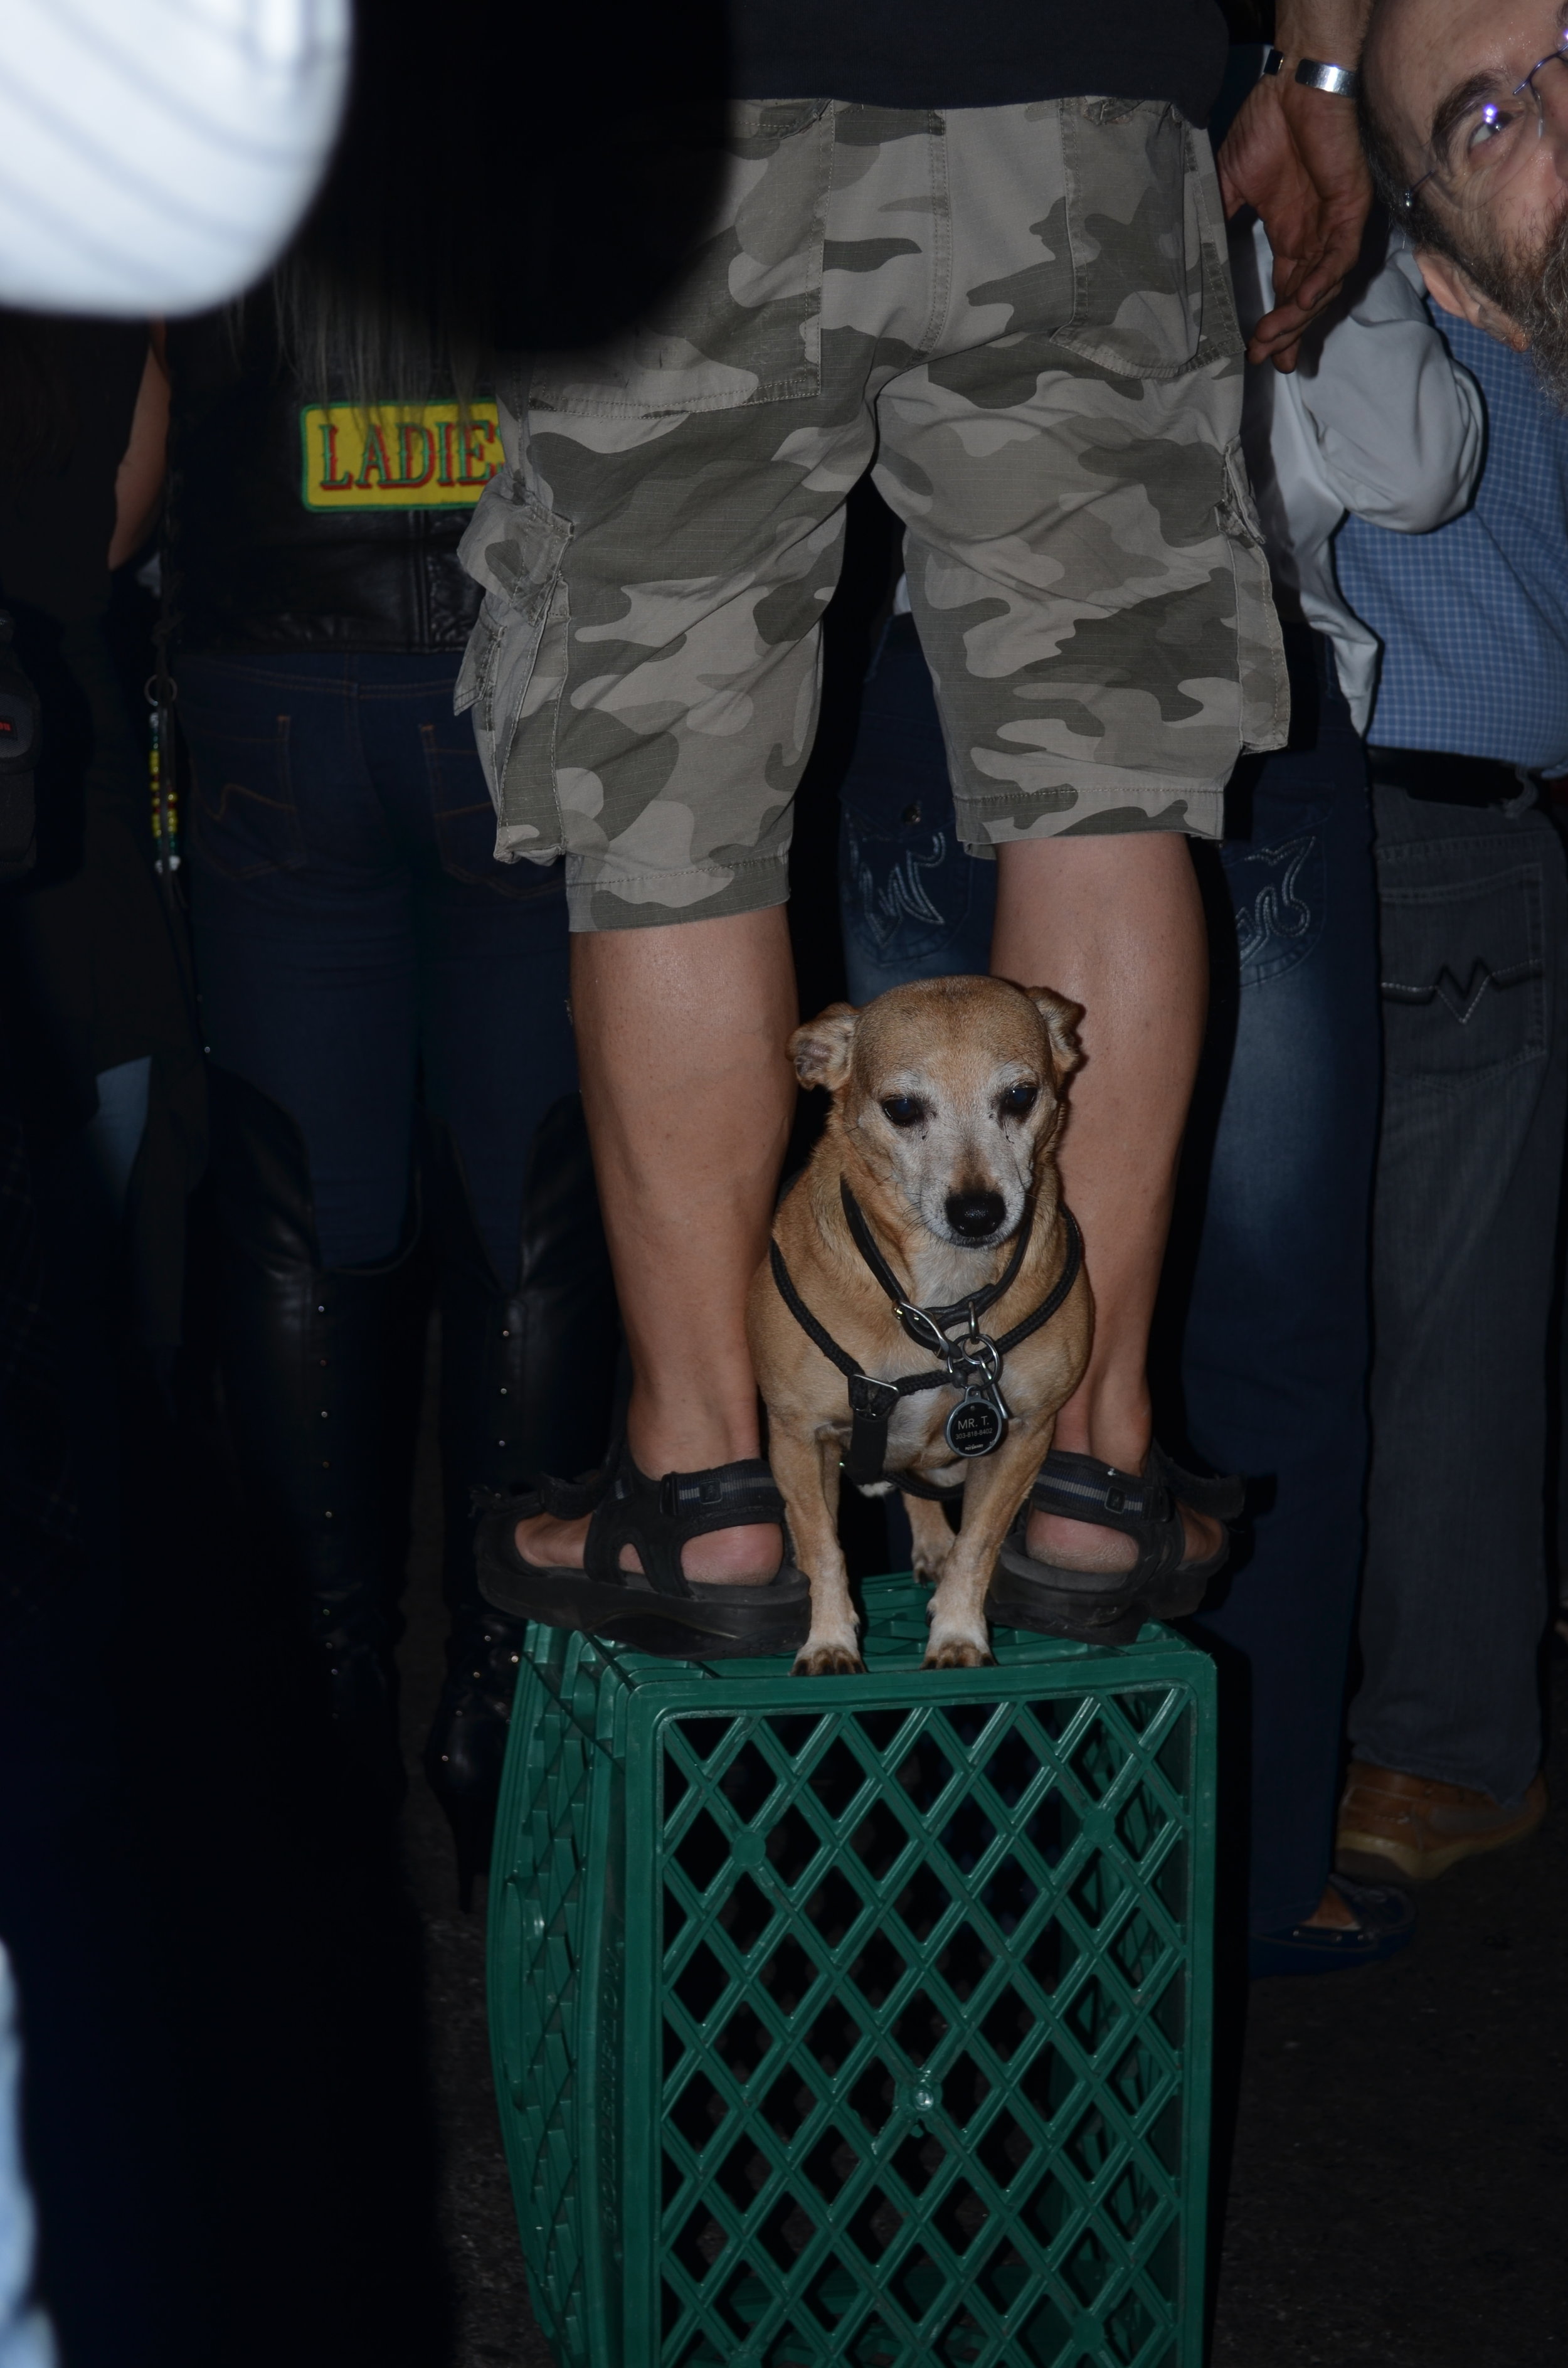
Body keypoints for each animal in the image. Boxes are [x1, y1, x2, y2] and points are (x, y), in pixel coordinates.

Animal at [758, 970, 1099, 1676]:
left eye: (1019, 1096)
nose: (976, 1212)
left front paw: (959, 1632)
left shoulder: (1025, 1435)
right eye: (902, 1108)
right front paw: (829, 1640)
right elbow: (825, 1548)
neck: (942, 1303)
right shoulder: (797, 1436)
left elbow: (978, 1544)